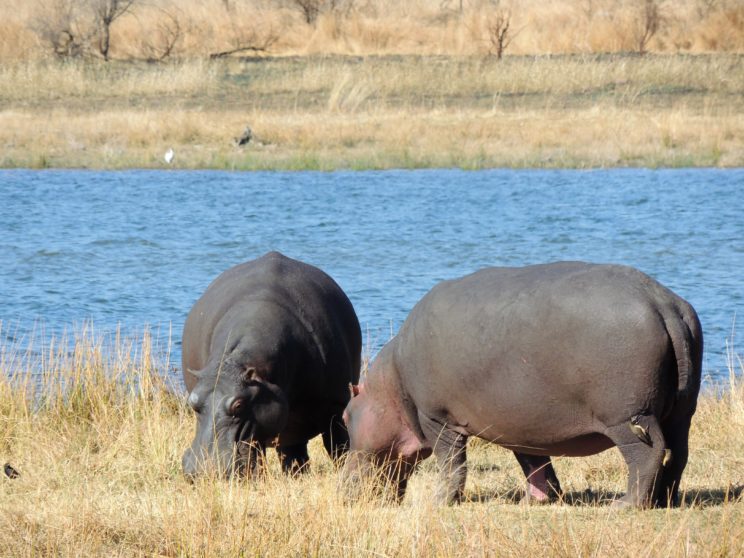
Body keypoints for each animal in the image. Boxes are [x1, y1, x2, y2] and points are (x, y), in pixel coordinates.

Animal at [342, 264, 704, 510]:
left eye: (345, 417)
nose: (342, 488)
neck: (390, 386)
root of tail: (664, 305)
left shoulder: (438, 419)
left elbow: (451, 464)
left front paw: (439, 502)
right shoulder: (523, 424)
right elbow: (534, 462)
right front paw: (540, 499)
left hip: (625, 417)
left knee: (646, 455)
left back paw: (626, 504)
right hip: (680, 413)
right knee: (678, 454)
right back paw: (664, 500)